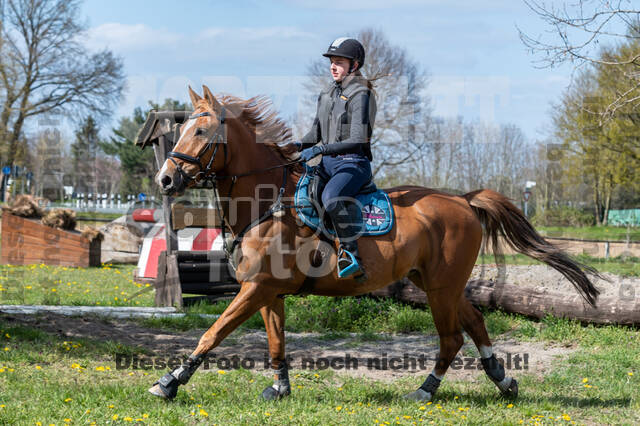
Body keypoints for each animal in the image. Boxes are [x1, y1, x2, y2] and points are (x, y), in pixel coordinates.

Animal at [149, 85, 600, 402]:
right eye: (182, 129)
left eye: (202, 131)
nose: (165, 180)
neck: (267, 201)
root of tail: (462, 199)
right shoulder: (268, 291)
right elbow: (276, 343)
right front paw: (279, 388)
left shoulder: (256, 288)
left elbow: (212, 334)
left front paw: (169, 382)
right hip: (436, 282)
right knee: (474, 322)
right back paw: (503, 382)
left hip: (441, 286)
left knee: (452, 337)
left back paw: (425, 390)